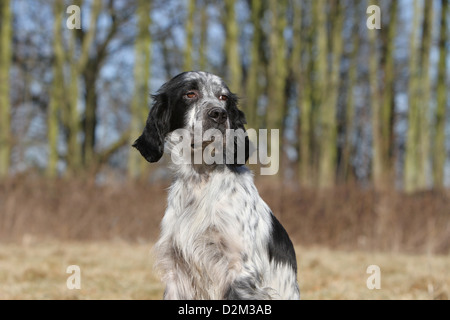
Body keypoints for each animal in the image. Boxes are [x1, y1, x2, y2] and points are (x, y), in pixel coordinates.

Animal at [134, 71, 302, 298]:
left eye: (223, 97)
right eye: (190, 94)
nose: (219, 114)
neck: (201, 178)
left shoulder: (240, 270)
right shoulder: (176, 271)